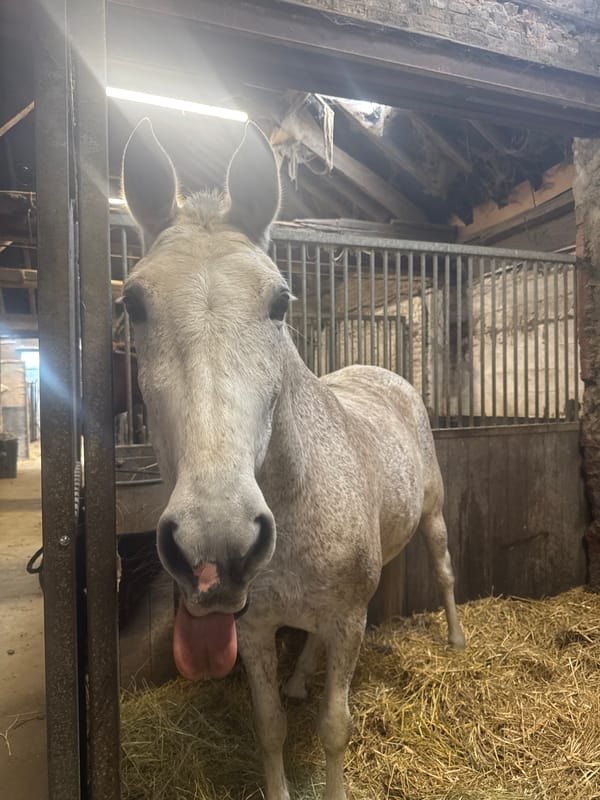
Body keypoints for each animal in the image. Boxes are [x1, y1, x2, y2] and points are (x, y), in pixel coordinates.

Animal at [121, 118, 466, 800]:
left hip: (434, 517)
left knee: (443, 570)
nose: (216, 545)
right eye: (133, 304)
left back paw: (457, 638)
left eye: (280, 302)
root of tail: (383, 373)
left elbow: (335, 728)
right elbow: (270, 728)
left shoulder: (350, 618)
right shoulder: (253, 629)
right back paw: (303, 675)